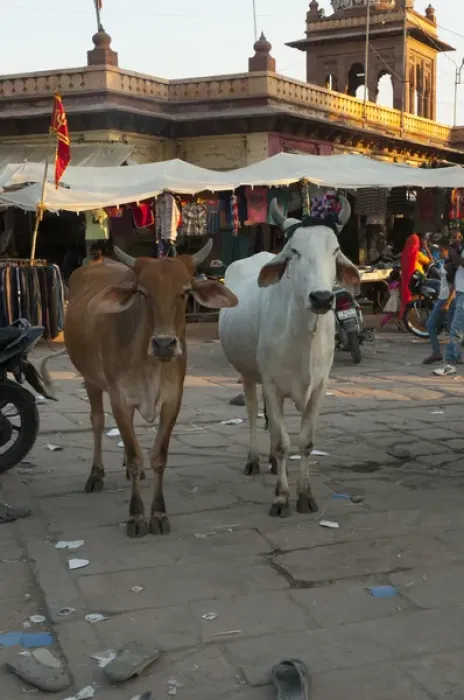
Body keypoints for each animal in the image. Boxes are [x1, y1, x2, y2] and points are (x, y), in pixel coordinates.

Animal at [40, 240, 238, 538]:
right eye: (143, 292)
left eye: (185, 292)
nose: (164, 344)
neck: (150, 365)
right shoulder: (119, 399)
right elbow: (135, 456)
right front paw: (135, 515)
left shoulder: (172, 401)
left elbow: (158, 457)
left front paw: (158, 513)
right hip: (91, 380)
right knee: (97, 422)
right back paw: (96, 474)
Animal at [218, 198, 360, 518]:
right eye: (294, 251)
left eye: (335, 250)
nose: (321, 298)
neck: (303, 336)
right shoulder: (271, 383)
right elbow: (284, 443)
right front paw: (281, 498)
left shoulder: (319, 387)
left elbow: (305, 443)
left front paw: (305, 495)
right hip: (248, 374)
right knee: (253, 412)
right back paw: (254, 460)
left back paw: (271, 462)